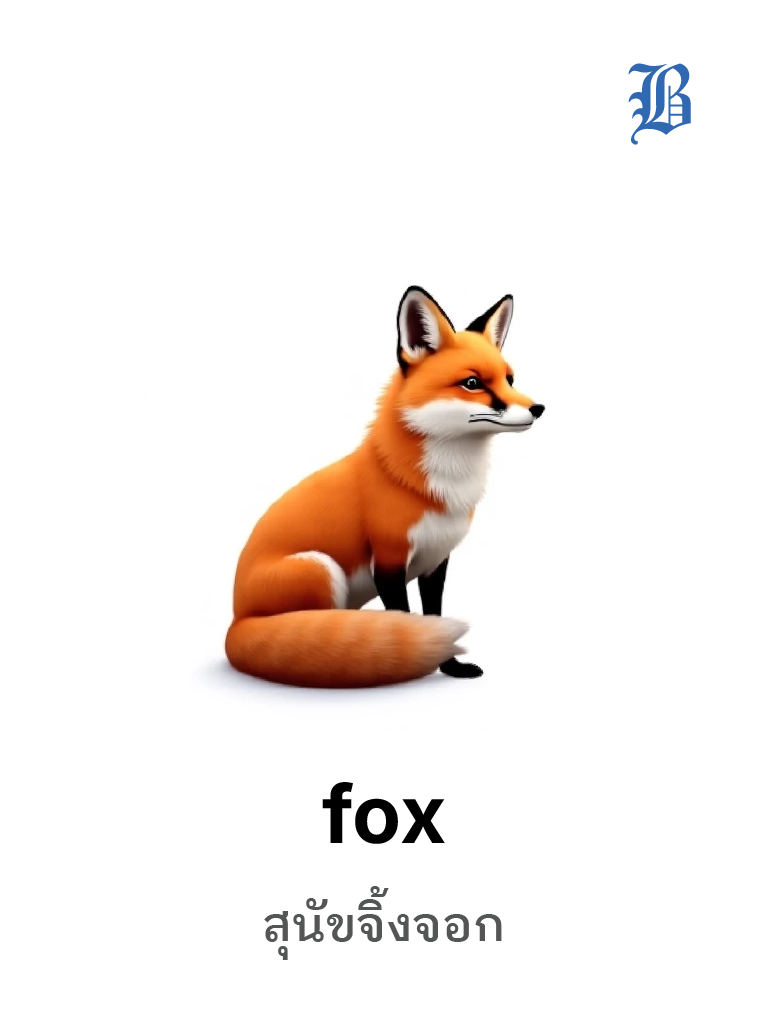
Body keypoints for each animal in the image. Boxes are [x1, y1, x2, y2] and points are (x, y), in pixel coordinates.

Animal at [225, 286, 544, 687]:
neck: (441, 487)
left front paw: (449, 666)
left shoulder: (436, 558)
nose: (538, 409)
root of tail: (237, 619)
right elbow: (405, 618)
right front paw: (408, 666)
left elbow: (433, 614)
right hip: (320, 569)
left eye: (510, 380)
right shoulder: (389, 559)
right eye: (473, 384)